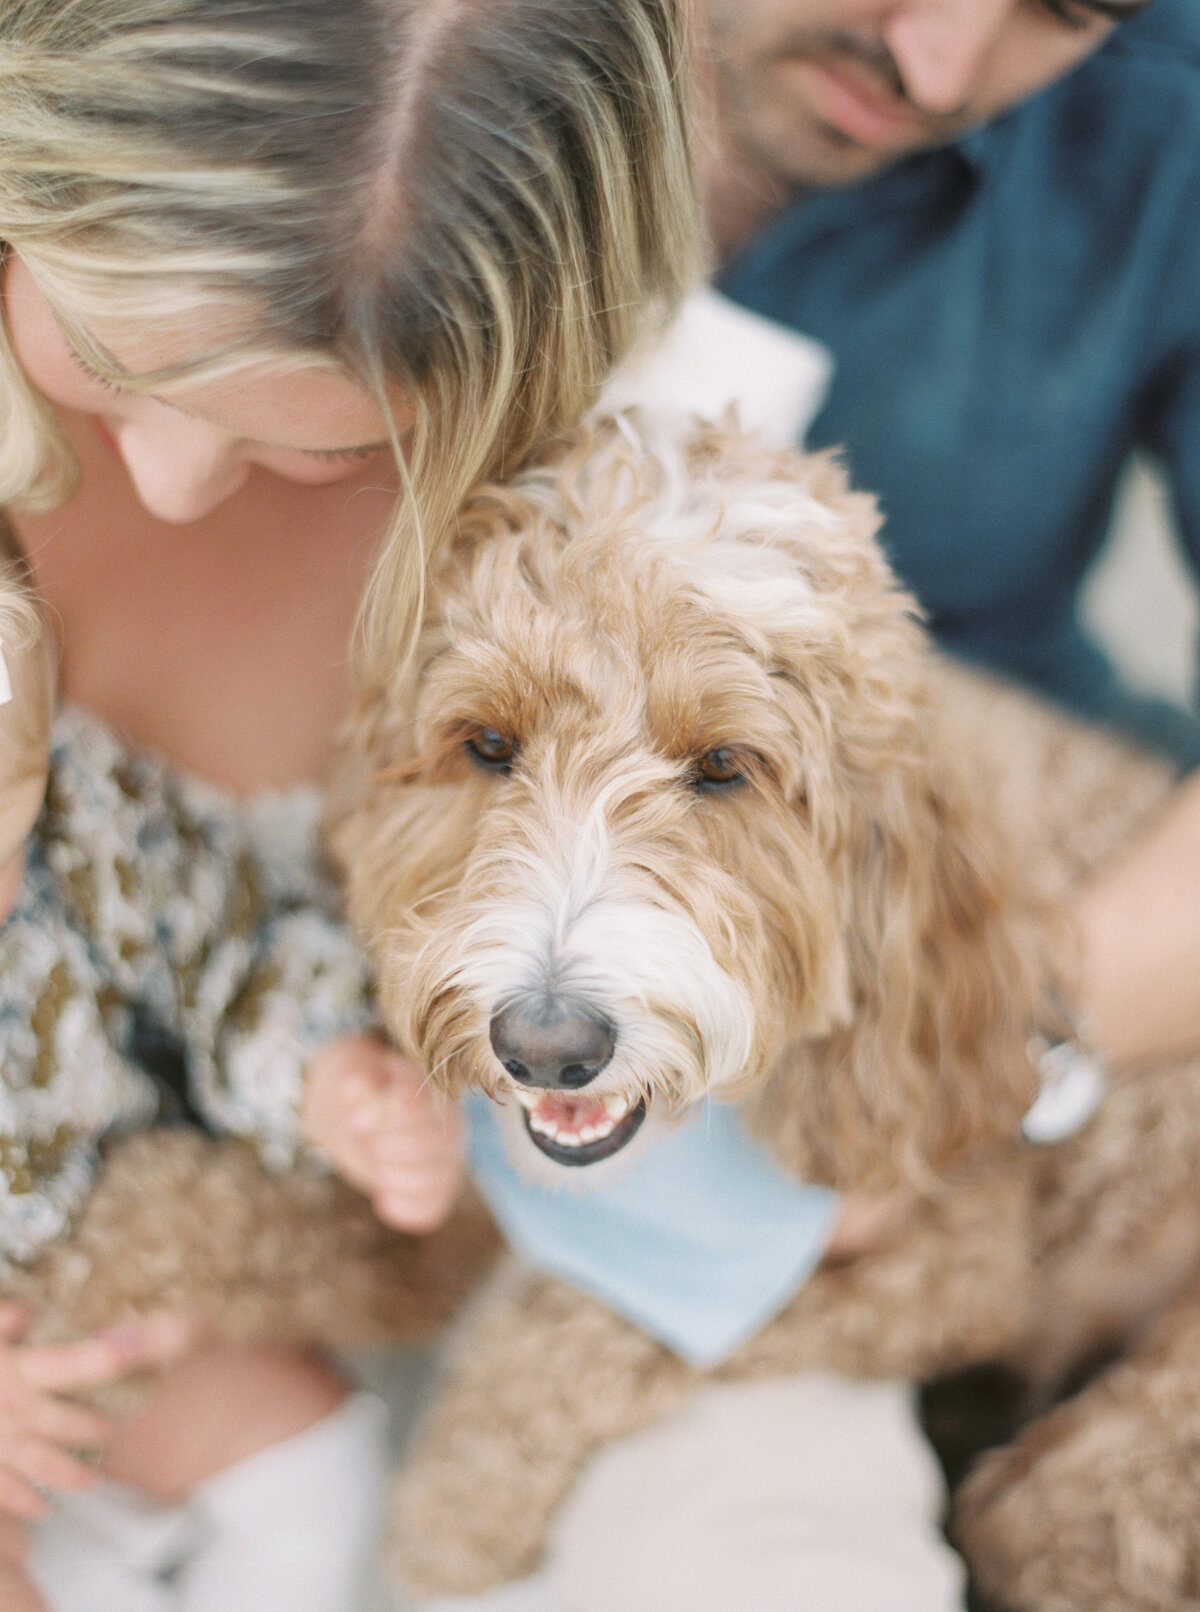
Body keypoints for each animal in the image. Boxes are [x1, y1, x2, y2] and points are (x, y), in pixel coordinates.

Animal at [332, 415, 1200, 1612]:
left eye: (723, 768)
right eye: (490, 746)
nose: (547, 1047)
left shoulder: (940, 1260)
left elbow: (576, 1329)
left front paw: (447, 1526)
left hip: (1089, 1491)